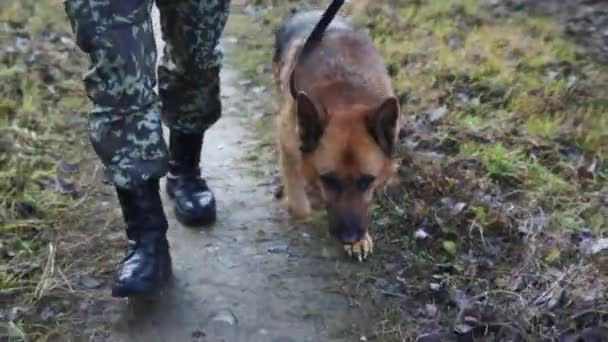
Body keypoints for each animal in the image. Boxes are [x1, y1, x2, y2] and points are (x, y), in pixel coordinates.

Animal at [272, 1, 400, 260]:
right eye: (329, 180)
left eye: (366, 181)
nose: (350, 237)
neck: (345, 96)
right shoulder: (287, 137)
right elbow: (300, 207)